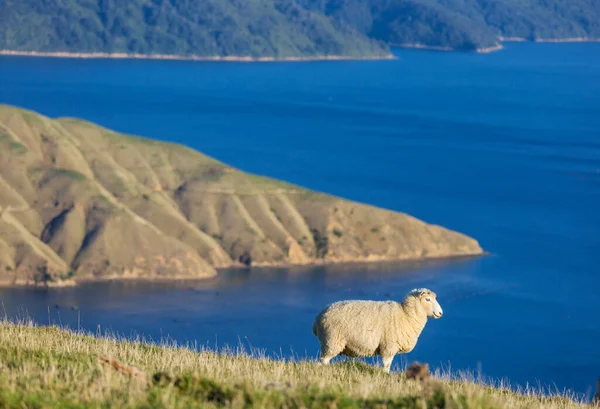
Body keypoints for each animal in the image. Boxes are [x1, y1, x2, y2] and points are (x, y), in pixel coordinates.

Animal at [312, 286, 442, 372]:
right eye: (427, 299)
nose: (441, 313)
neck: (406, 315)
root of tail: (318, 318)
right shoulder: (388, 347)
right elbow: (386, 366)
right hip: (332, 340)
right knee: (322, 361)